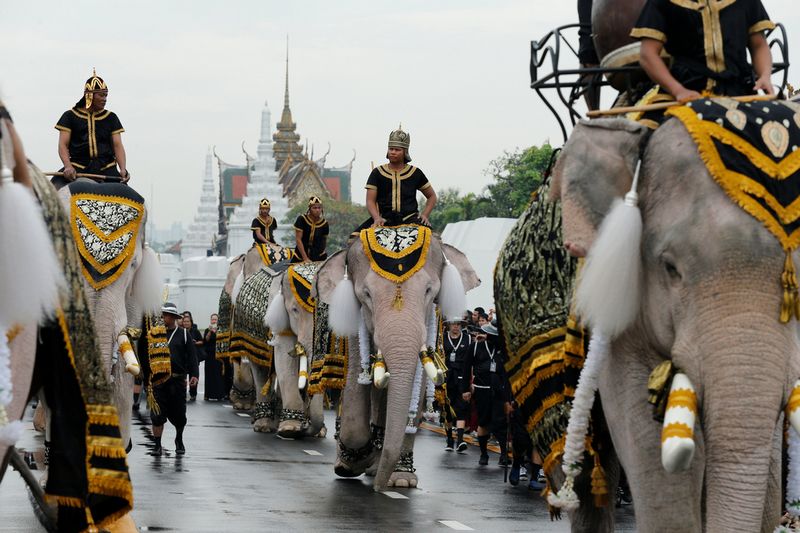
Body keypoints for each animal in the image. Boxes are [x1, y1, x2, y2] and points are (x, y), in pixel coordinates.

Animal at [318, 225, 482, 490]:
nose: (378, 489)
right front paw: (350, 465)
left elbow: (417, 385)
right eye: (366, 294)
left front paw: (401, 480)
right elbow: (355, 383)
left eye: (429, 291)